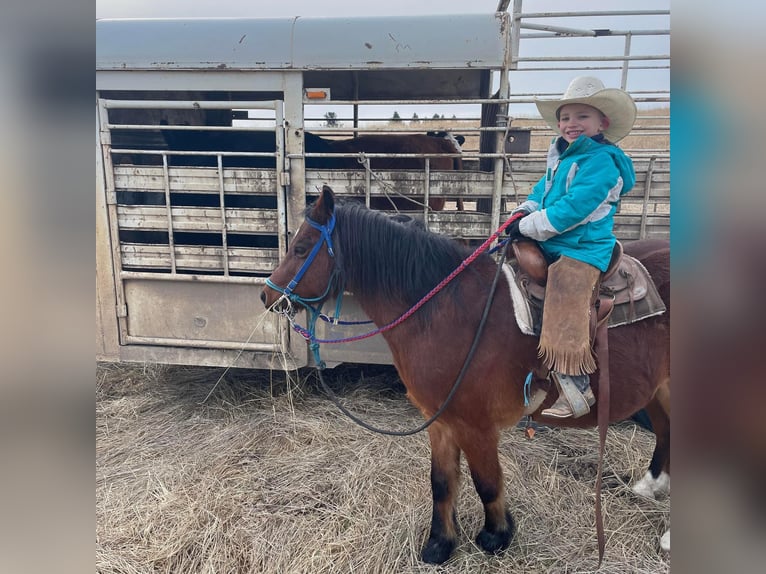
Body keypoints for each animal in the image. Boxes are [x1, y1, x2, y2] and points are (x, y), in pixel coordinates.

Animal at [262, 187, 672, 564]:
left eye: (301, 248)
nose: (268, 297)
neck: (448, 312)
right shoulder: (441, 420)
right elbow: (442, 483)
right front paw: (439, 544)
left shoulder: (475, 424)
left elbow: (486, 482)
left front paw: (496, 536)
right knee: (666, 431)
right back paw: (650, 486)